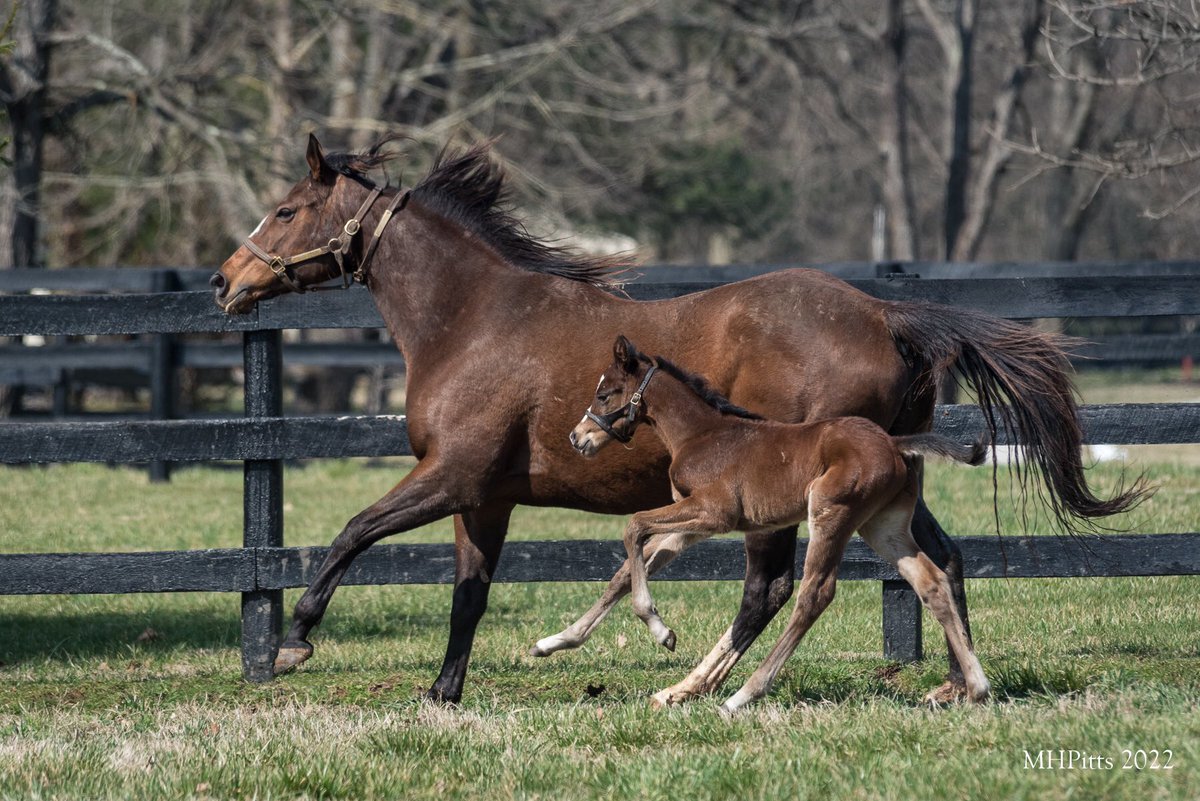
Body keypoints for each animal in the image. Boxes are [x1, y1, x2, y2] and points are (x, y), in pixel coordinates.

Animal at [570, 335, 990, 711]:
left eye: (605, 394)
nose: (577, 437)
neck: (701, 435)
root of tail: (895, 444)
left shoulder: (714, 511)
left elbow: (634, 527)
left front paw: (661, 631)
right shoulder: (695, 521)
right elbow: (635, 557)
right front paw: (564, 640)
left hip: (831, 510)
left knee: (814, 594)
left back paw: (742, 696)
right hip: (882, 526)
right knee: (931, 581)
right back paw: (977, 688)